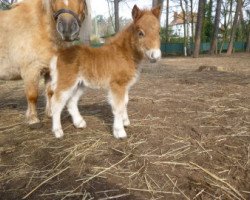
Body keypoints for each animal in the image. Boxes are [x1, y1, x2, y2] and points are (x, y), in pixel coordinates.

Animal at [49, 5, 161, 139]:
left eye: (159, 31)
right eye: (140, 33)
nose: (155, 55)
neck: (124, 54)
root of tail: (59, 54)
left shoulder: (125, 86)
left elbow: (125, 102)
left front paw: (125, 122)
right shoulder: (117, 85)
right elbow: (118, 107)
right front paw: (119, 132)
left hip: (79, 85)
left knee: (71, 102)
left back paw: (79, 123)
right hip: (66, 83)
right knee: (56, 103)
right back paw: (57, 131)